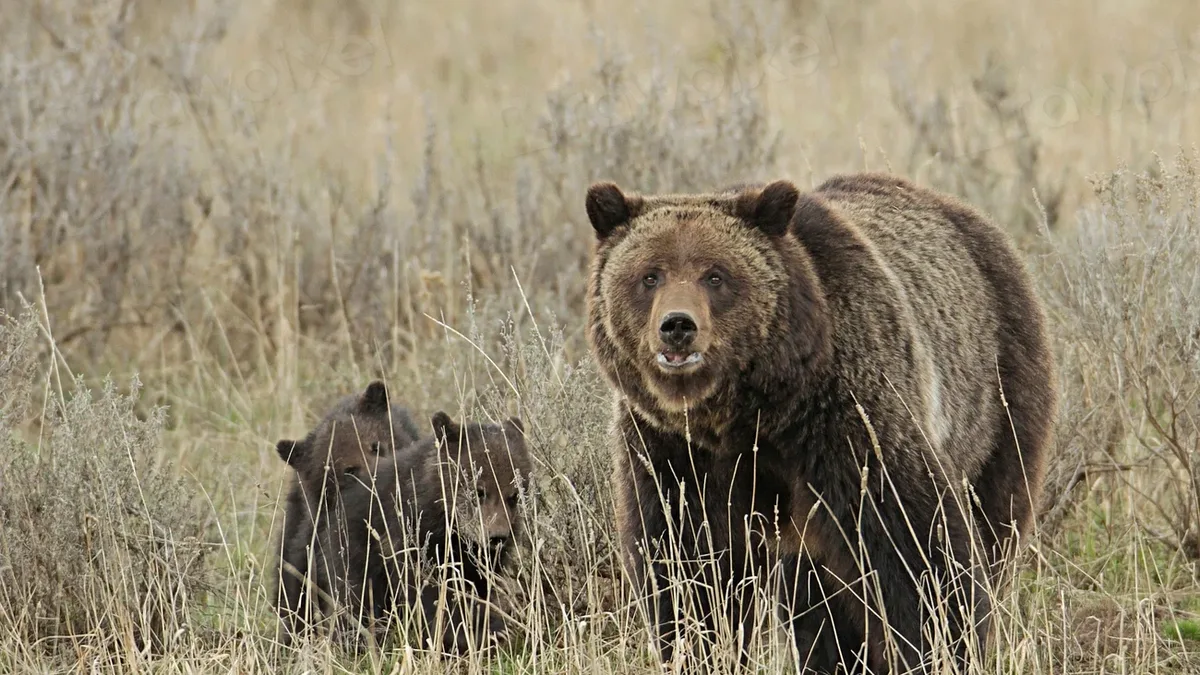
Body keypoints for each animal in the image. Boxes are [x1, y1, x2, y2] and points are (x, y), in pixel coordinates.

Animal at [311, 410, 533, 654]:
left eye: (514, 495)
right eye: (479, 491)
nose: (497, 537)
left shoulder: (478, 561)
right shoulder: (408, 539)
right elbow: (427, 594)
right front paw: (463, 634)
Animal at [583, 172, 1057, 674]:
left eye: (716, 275)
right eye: (649, 275)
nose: (677, 326)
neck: (748, 415)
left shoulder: (845, 421)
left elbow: (918, 548)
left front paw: (942, 648)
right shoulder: (672, 449)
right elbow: (688, 566)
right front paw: (700, 647)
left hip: (998, 397)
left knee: (996, 519)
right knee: (814, 601)